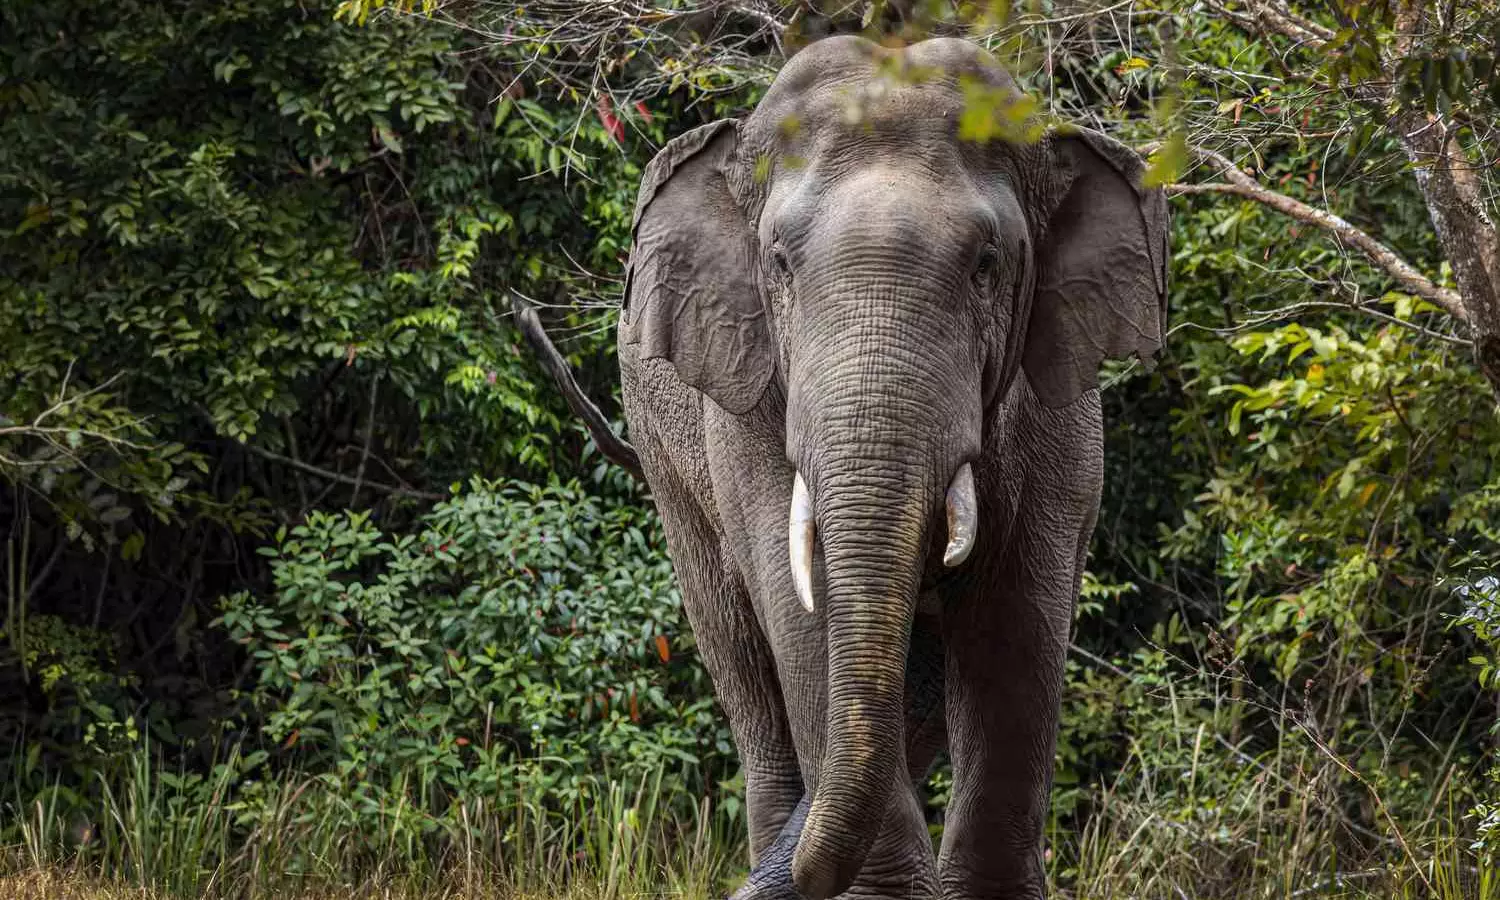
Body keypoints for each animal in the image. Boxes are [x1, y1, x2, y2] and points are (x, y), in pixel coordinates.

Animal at [513, 33, 1168, 900]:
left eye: (987, 263)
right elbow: (804, 611)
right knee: (740, 661)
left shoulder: (1055, 399)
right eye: (780, 263)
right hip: (664, 456)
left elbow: (1020, 622)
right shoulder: (748, 396)